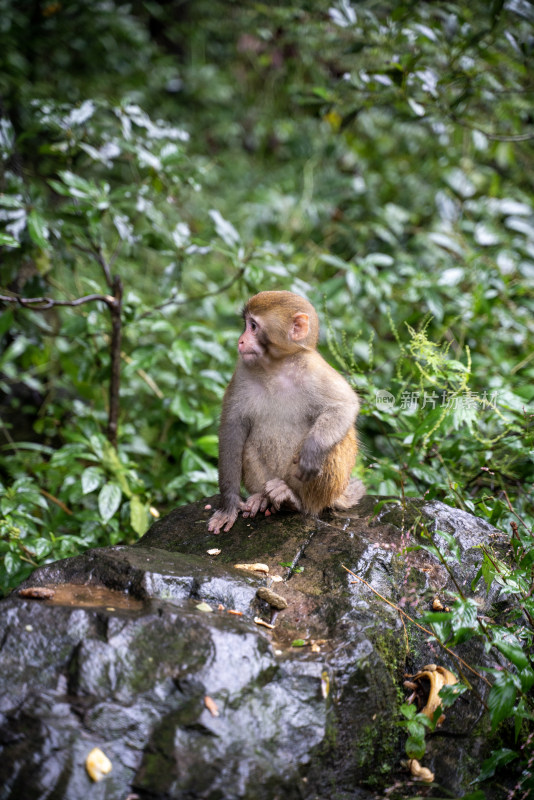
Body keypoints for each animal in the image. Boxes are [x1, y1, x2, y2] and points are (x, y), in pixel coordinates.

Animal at [207, 290, 366, 536]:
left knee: (337, 442)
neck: (277, 366)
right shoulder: (242, 370)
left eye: (253, 326)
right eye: (246, 325)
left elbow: (344, 405)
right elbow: (233, 428)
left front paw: (312, 450)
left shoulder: (314, 368)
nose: (241, 340)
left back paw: (294, 501)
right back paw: (263, 498)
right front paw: (229, 505)